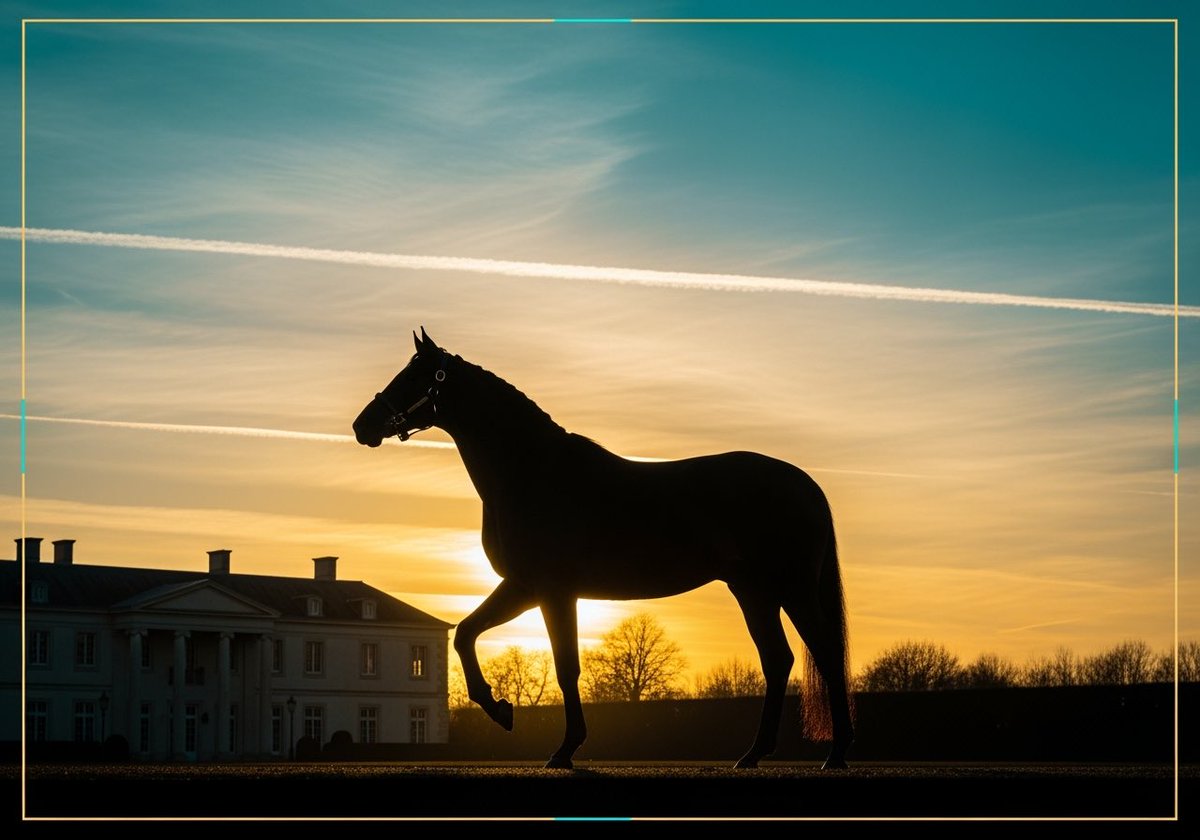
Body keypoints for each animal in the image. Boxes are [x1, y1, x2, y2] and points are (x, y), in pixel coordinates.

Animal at [353, 328, 854, 770]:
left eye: (414, 376)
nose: (362, 426)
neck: (532, 472)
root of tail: (806, 485)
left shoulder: (553, 591)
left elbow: (565, 667)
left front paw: (564, 749)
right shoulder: (523, 587)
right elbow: (466, 634)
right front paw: (501, 708)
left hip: (791, 588)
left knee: (825, 652)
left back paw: (835, 754)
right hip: (753, 591)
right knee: (778, 660)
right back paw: (752, 754)